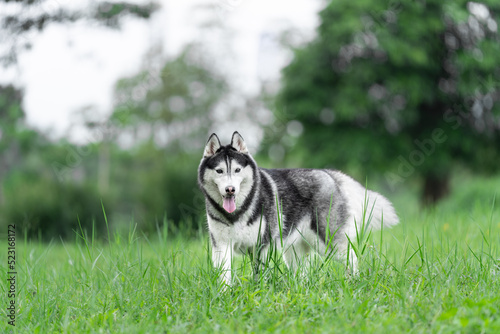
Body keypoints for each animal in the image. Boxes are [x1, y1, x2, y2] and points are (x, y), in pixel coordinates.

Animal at [197, 130, 396, 284]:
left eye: (237, 170)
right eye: (219, 171)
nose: (230, 189)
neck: (237, 213)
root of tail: (329, 174)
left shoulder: (261, 247)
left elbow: (259, 275)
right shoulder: (221, 246)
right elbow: (224, 275)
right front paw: (224, 296)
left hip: (329, 243)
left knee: (352, 258)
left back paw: (352, 282)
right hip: (293, 251)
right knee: (302, 272)